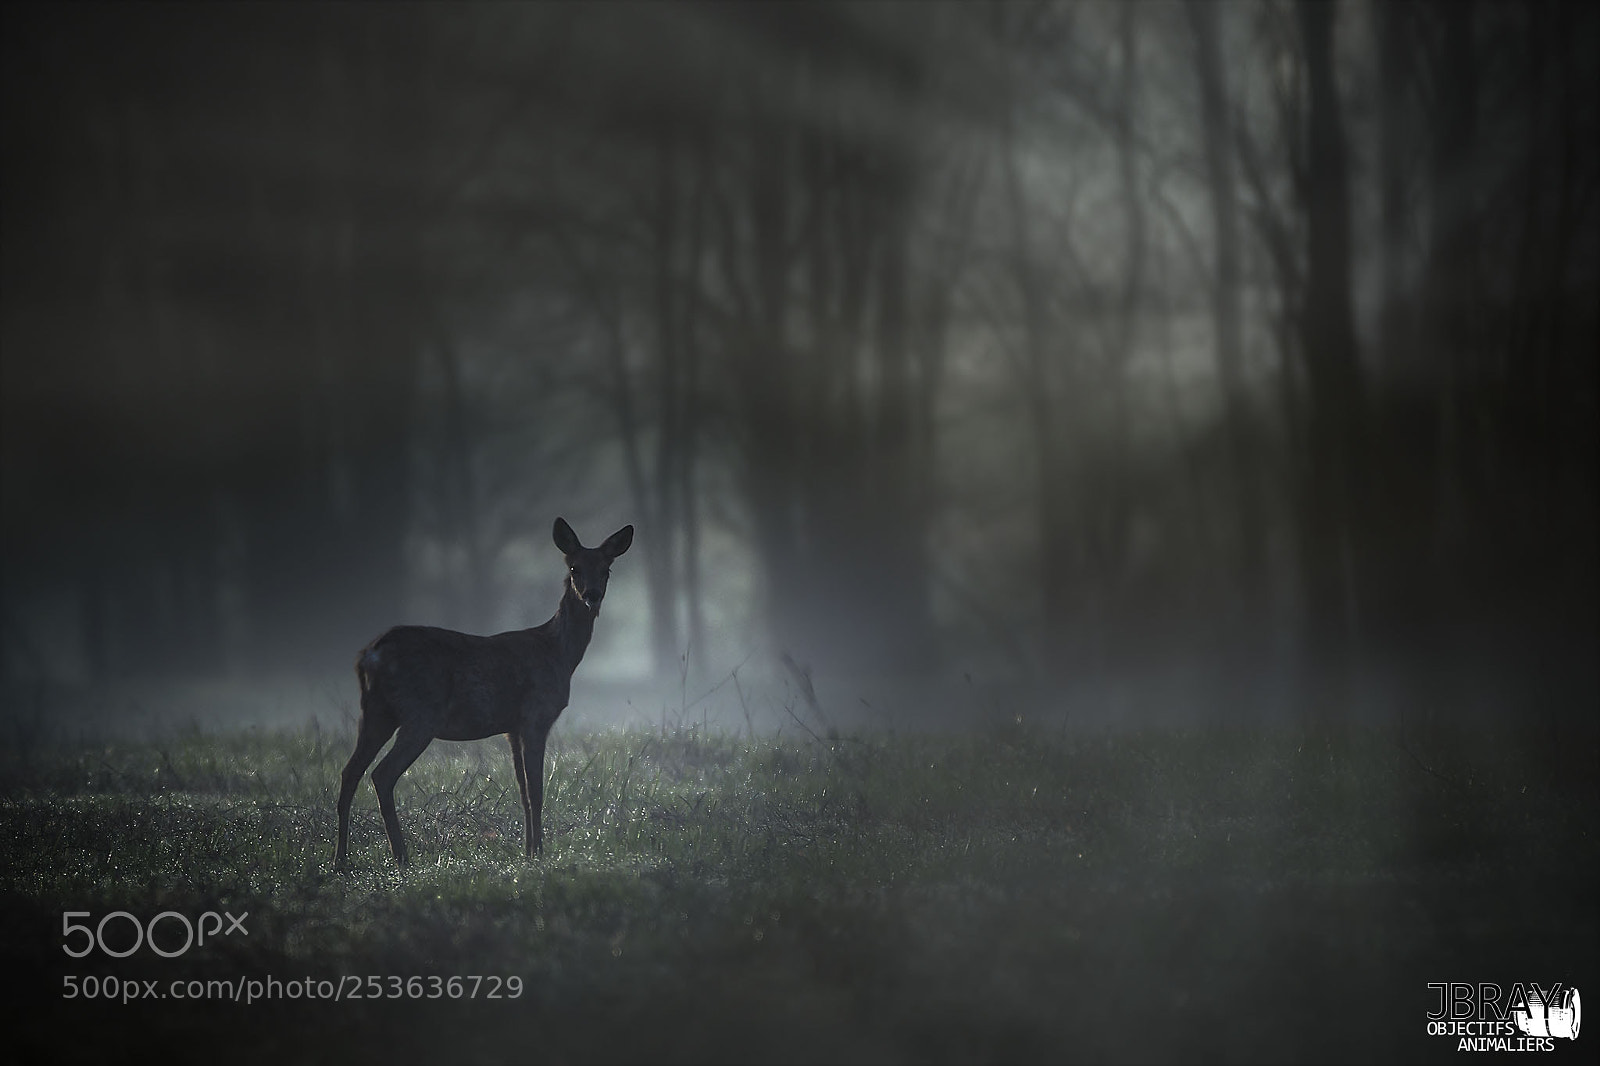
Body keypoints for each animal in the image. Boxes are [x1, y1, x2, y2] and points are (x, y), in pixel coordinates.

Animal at [334, 517, 633, 870]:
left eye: (606, 570)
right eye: (574, 568)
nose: (592, 595)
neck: (558, 652)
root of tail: (368, 655)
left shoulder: (512, 727)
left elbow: (523, 791)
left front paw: (528, 851)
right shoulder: (536, 716)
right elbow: (536, 791)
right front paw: (539, 853)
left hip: (375, 712)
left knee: (350, 772)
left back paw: (340, 859)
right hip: (420, 714)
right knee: (381, 774)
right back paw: (400, 856)